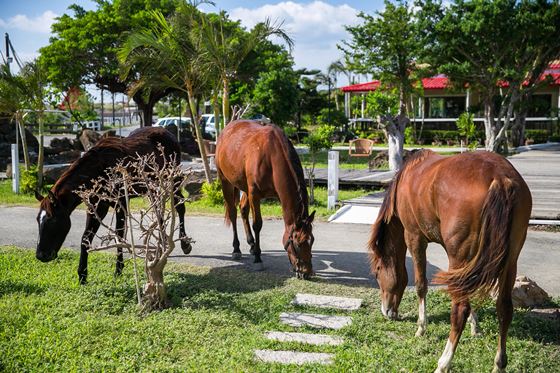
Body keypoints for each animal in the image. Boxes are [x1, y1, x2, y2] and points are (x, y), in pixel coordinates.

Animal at [35, 126, 192, 284]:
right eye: (38, 220)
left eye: (53, 220)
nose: (41, 255)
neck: (98, 171)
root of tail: (168, 133)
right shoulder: (97, 207)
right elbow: (86, 238)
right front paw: (82, 275)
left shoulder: (120, 203)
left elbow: (119, 234)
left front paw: (118, 270)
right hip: (153, 189)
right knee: (159, 215)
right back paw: (162, 245)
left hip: (172, 181)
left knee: (180, 207)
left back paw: (185, 244)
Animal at [215, 120, 316, 278]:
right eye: (298, 243)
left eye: (312, 241)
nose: (307, 272)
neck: (272, 157)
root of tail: (228, 128)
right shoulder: (254, 194)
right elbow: (257, 224)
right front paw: (258, 259)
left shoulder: (257, 192)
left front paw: (255, 250)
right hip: (225, 181)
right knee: (232, 212)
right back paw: (237, 249)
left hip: (245, 187)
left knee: (243, 209)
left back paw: (251, 244)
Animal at [370, 149, 532, 372]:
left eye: (378, 271)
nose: (386, 311)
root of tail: (500, 177)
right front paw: (476, 327)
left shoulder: (414, 238)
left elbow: (421, 285)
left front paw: (421, 327)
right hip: (509, 261)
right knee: (504, 309)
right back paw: (499, 364)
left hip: (458, 255)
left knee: (459, 310)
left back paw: (444, 362)